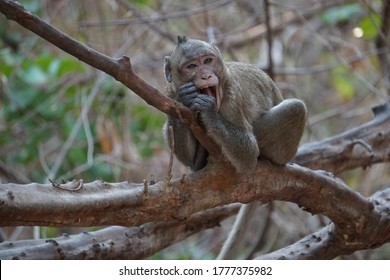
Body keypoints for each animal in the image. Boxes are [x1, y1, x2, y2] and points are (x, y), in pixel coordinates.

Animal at [163, 36, 306, 260]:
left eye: (207, 61)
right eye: (191, 66)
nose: (206, 75)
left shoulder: (232, 98)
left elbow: (248, 154)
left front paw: (209, 111)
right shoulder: (169, 91)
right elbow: (185, 155)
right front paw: (183, 99)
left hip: (283, 152)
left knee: (295, 108)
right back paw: (201, 161)